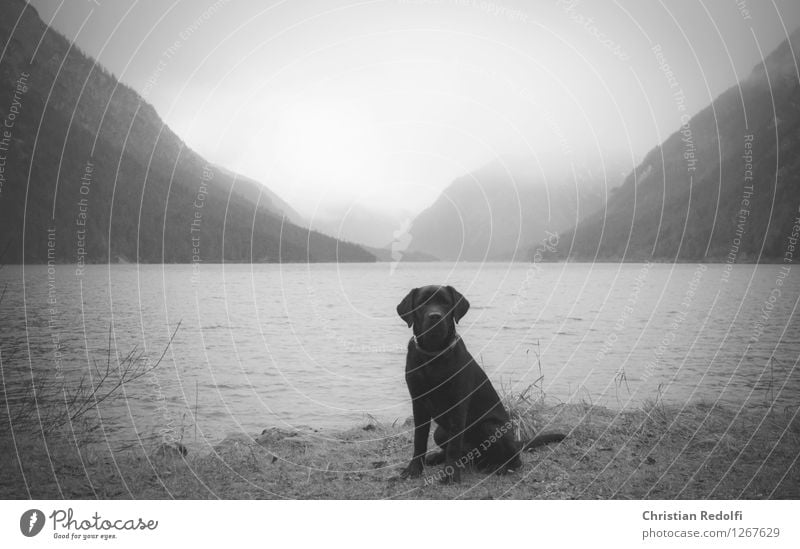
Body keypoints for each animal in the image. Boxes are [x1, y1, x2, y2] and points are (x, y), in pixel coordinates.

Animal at [396, 284, 564, 482]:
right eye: (422, 303)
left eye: (446, 303)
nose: (435, 316)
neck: (434, 355)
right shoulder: (418, 402)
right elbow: (419, 440)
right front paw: (414, 469)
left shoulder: (459, 405)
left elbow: (454, 446)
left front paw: (451, 476)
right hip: (440, 432)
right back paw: (438, 457)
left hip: (490, 426)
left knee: (514, 459)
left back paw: (500, 467)